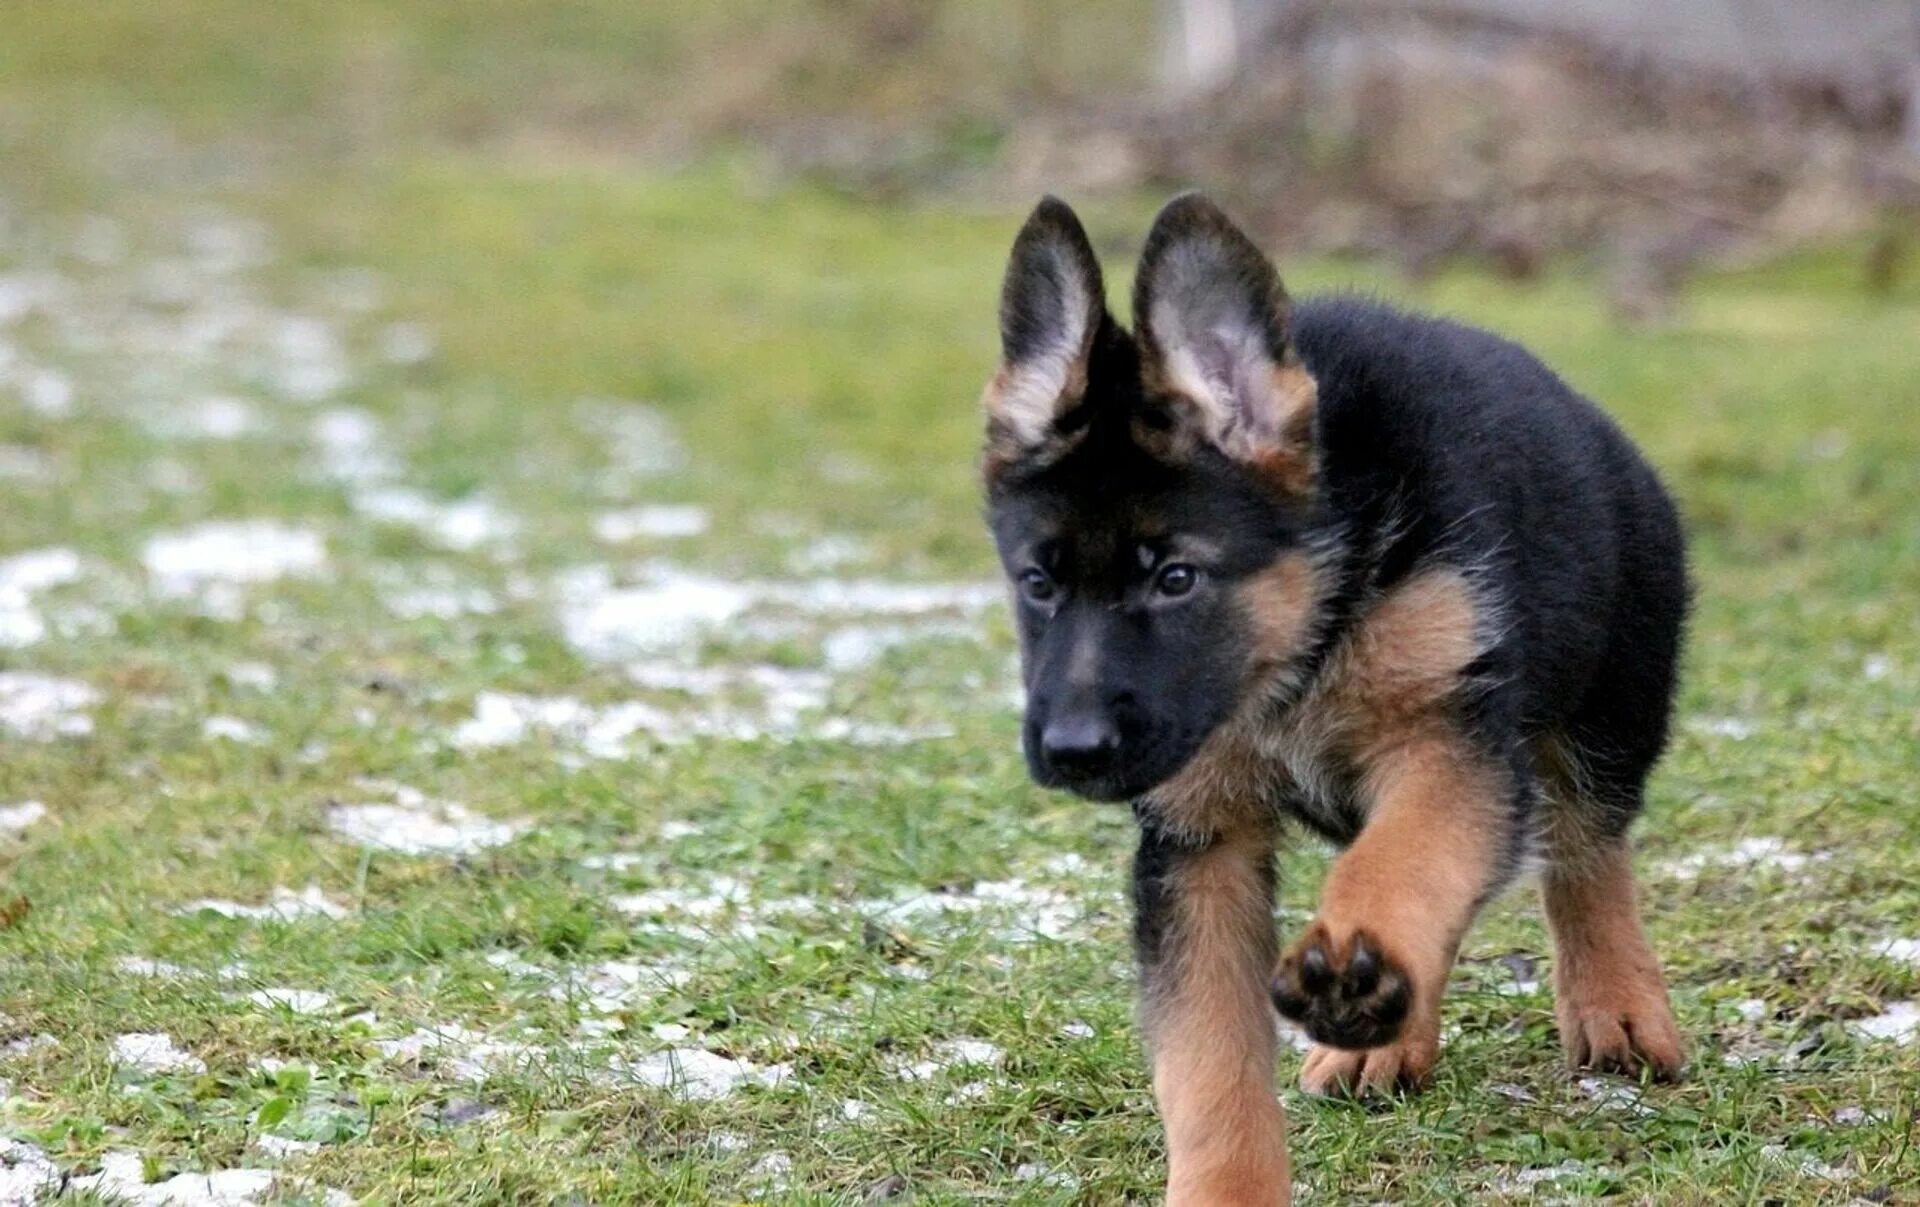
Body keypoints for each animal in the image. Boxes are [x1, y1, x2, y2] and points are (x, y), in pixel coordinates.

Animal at [983, 192, 1689, 1197]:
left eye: (1176, 578)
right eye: (1038, 583)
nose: (1072, 752)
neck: (1310, 630)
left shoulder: (1450, 744)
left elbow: (1402, 859)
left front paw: (1363, 951)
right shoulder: (1200, 843)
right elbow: (1208, 1066)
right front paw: (1226, 1188)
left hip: (1607, 715)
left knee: (1587, 854)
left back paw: (1614, 1004)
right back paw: (1384, 1034)